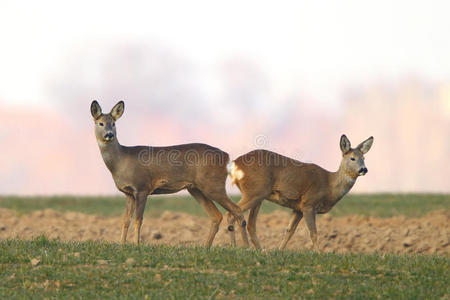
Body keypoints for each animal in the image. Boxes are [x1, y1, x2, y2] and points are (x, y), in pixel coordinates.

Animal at [89, 101, 250, 246]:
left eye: (113, 123)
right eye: (100, 123)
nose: (109, 134)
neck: (121, 161)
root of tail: (227, 157)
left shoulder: (142, 187)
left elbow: (138, 219)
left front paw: (136, 245)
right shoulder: (128, 193)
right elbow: (125, 220)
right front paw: (122, 245)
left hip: (213, 185)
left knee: (236, 210)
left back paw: (246, 248)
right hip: (196, 188)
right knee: (217, 216)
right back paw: (206, 248)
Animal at [225, 135, 372, 251]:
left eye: (364, 158)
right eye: (352, 158)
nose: (364, 169)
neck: (329, 186)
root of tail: (234, 164)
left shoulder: (298, 209)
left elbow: (289, 231)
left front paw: (279, 250)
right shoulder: (309, 203)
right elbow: (313, 233)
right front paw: (319, 253)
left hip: (258, 195)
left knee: (250, 224)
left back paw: (259, 250)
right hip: (255, 192)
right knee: (233, 213)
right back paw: (238, 247)